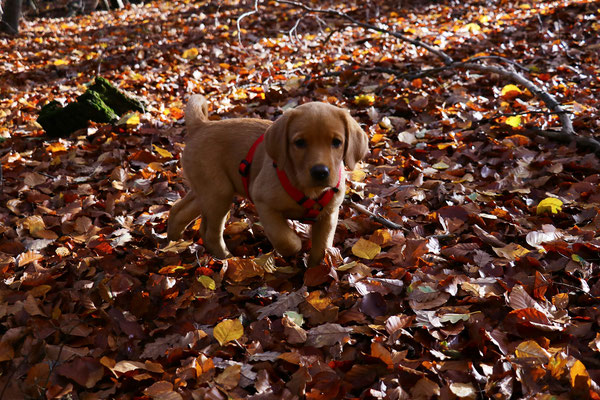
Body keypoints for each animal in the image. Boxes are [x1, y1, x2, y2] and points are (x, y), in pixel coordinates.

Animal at [166, 95, 368, 268]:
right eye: (299, 143)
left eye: (337, 142)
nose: (320, 172)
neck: (309, 190)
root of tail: (201, 125)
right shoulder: (264, 203)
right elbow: (285, 239)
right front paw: (295, 246)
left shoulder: (329, 215)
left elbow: (323, 247)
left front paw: (316, 271)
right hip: (219, 193)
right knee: (209, 233)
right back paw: (227, 258)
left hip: (207, 189)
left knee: (179, 211)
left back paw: (172, 243)